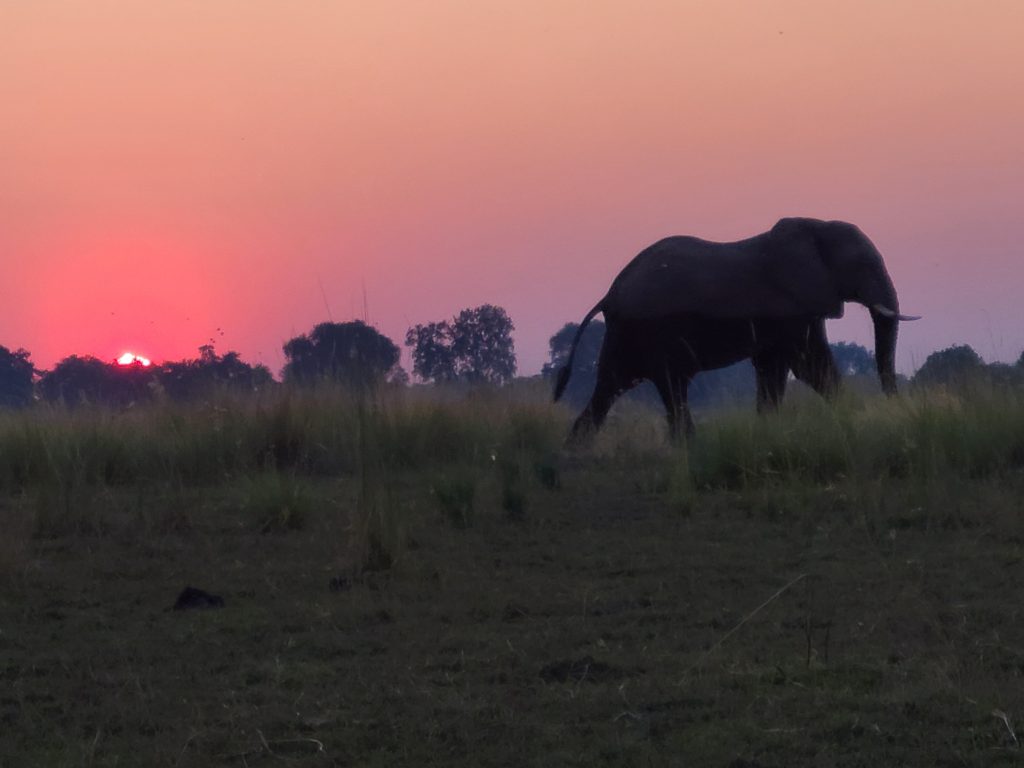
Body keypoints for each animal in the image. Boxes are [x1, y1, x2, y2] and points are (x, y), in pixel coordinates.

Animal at [554, 217, 918, 439]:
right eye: (862, 265)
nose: (895, 405)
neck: (816, 227)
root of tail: (610, 293)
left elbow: (774, 369)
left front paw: (769, 431)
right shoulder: (790, 303)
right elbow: (809, 365)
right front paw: (853, 420)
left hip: (626, 334)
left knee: (611, 386)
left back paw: (577, 449)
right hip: (648, 330)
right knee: (667, 386)